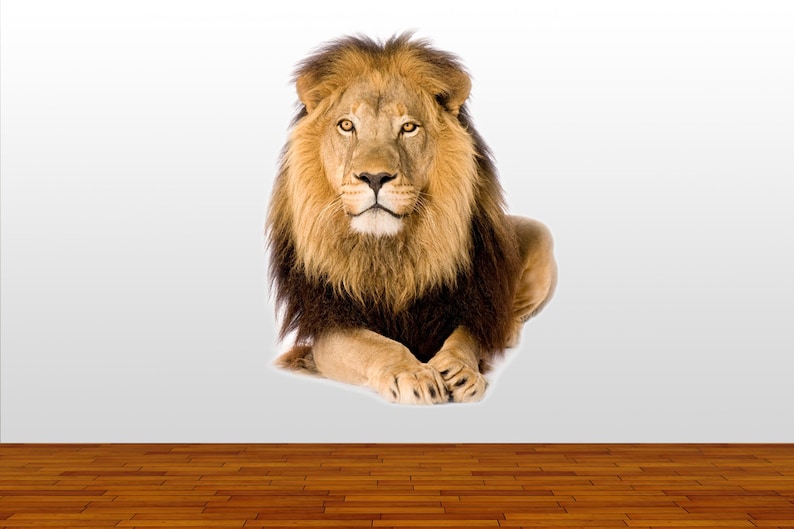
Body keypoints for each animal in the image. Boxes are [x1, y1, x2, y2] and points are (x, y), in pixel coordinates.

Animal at [267, 34, 557, 404]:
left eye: (408, 128)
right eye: (347, 125)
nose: (375, 177)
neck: (389, 250)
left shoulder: (469, 304)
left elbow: (465, 339)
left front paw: (460, 370)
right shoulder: (330, 324)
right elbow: (376, 346)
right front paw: (414, 374)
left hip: (540, 234)